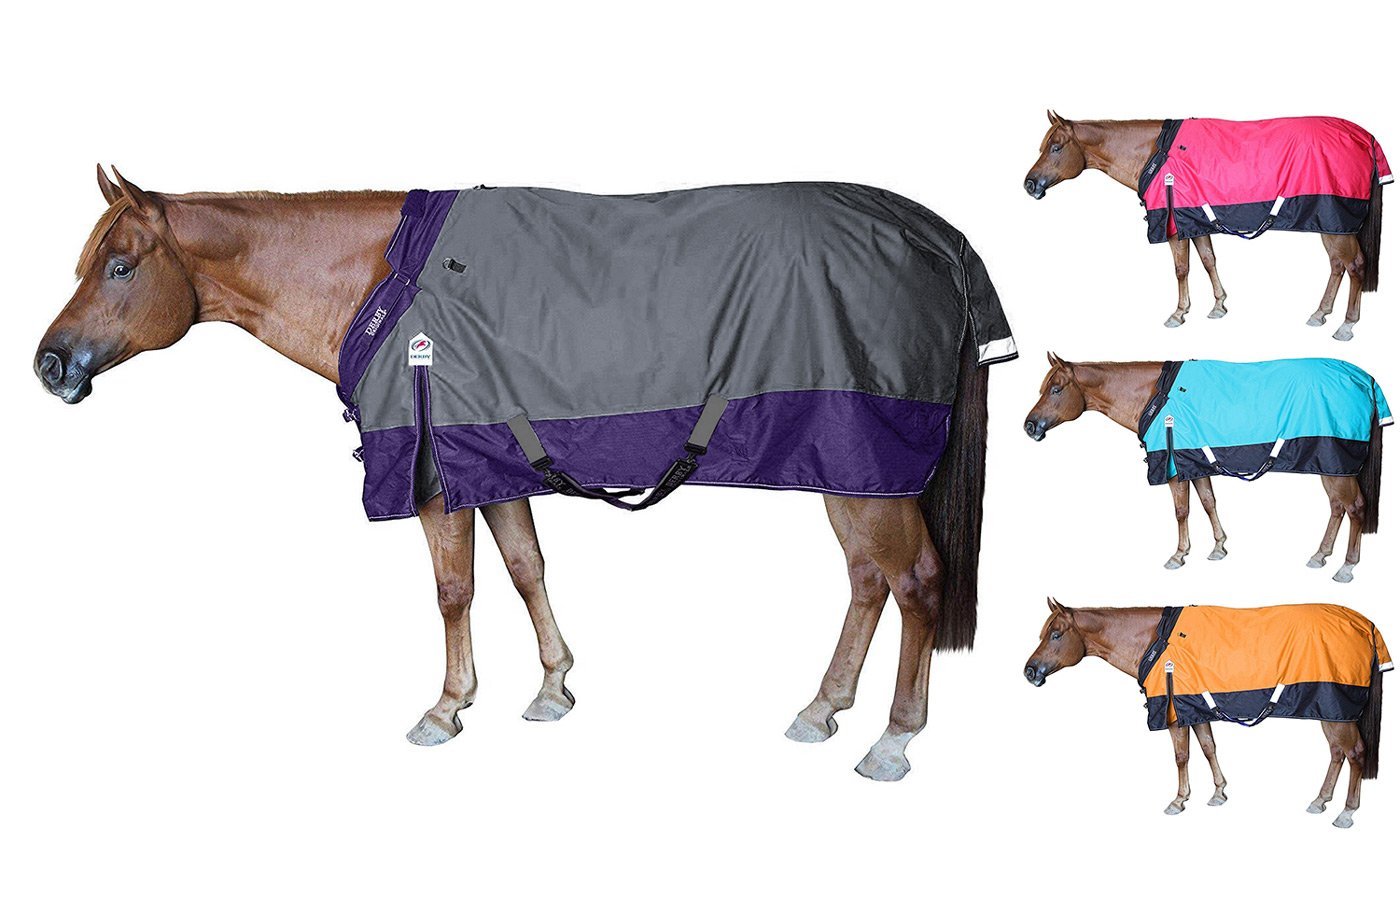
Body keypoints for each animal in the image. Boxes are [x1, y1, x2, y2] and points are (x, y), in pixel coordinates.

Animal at [32, 167, 1005, 781]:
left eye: (119, 265)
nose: (48, 365)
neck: (385, 287)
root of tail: (940, 240)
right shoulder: (487, 462)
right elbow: (526, 568)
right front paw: (552, 689)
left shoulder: (433, 474)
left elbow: (455, 589)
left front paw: (446, 708)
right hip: (849, 466)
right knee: (868, 582)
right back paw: (821, 708)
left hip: (869, 467)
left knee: (915, 581)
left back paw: (892, 742)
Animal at [1023, 112, 1388, 340]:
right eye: (1043, 146)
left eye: (1056, 147)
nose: (1029, 184)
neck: (1156, 155)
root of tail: (1365, 137)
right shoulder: (1194, 222)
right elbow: (1209, 261)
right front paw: (1218, 306)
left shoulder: (1173, 225)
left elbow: (1182, 269)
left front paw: (1178, 313)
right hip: (1331, 224)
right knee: (1337, 266)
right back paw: (1319, 313)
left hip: (1337, 223)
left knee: (1355, 265)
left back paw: (1346, 326)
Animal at [1023, 354, 1386, 582]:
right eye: (1042, 388)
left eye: (1056, 389)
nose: (1029, 426)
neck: (1156, 397)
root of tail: (1364, 378)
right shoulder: (1194, 464)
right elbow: (1209, 502)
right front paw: (1219, 548)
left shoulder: (1172, 467)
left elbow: (1181, 511)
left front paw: (1178, 555)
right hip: (1331, 466)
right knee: (1337, 508)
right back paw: (1319, 555)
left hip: (1337, 464)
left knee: (1355, 507)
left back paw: (1346, 568)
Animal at [1023, 598, 1389, 827]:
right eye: (1043, 633)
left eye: (1056, 634)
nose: (1029, 671)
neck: (1155, 641)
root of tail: (1365, 624)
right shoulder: (1194, 709)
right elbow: (1209, 748)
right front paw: (1218, 793)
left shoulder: (1173, 713)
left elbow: (1182, 756)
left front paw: (1178, 800)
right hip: (1331, 711)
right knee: (1337, 753)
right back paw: (1320, 801)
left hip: (1337, 711)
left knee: (1355, 753)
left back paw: (1346, 813)